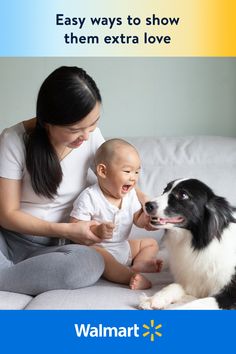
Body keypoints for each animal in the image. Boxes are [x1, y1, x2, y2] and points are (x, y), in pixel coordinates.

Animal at [139, 178, 236, 308]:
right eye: (165, 190)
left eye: (183, 195)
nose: (147, 205)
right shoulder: (190, 281)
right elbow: (173, 285)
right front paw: (153, 299)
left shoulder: (229, 295)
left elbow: (195, 304)